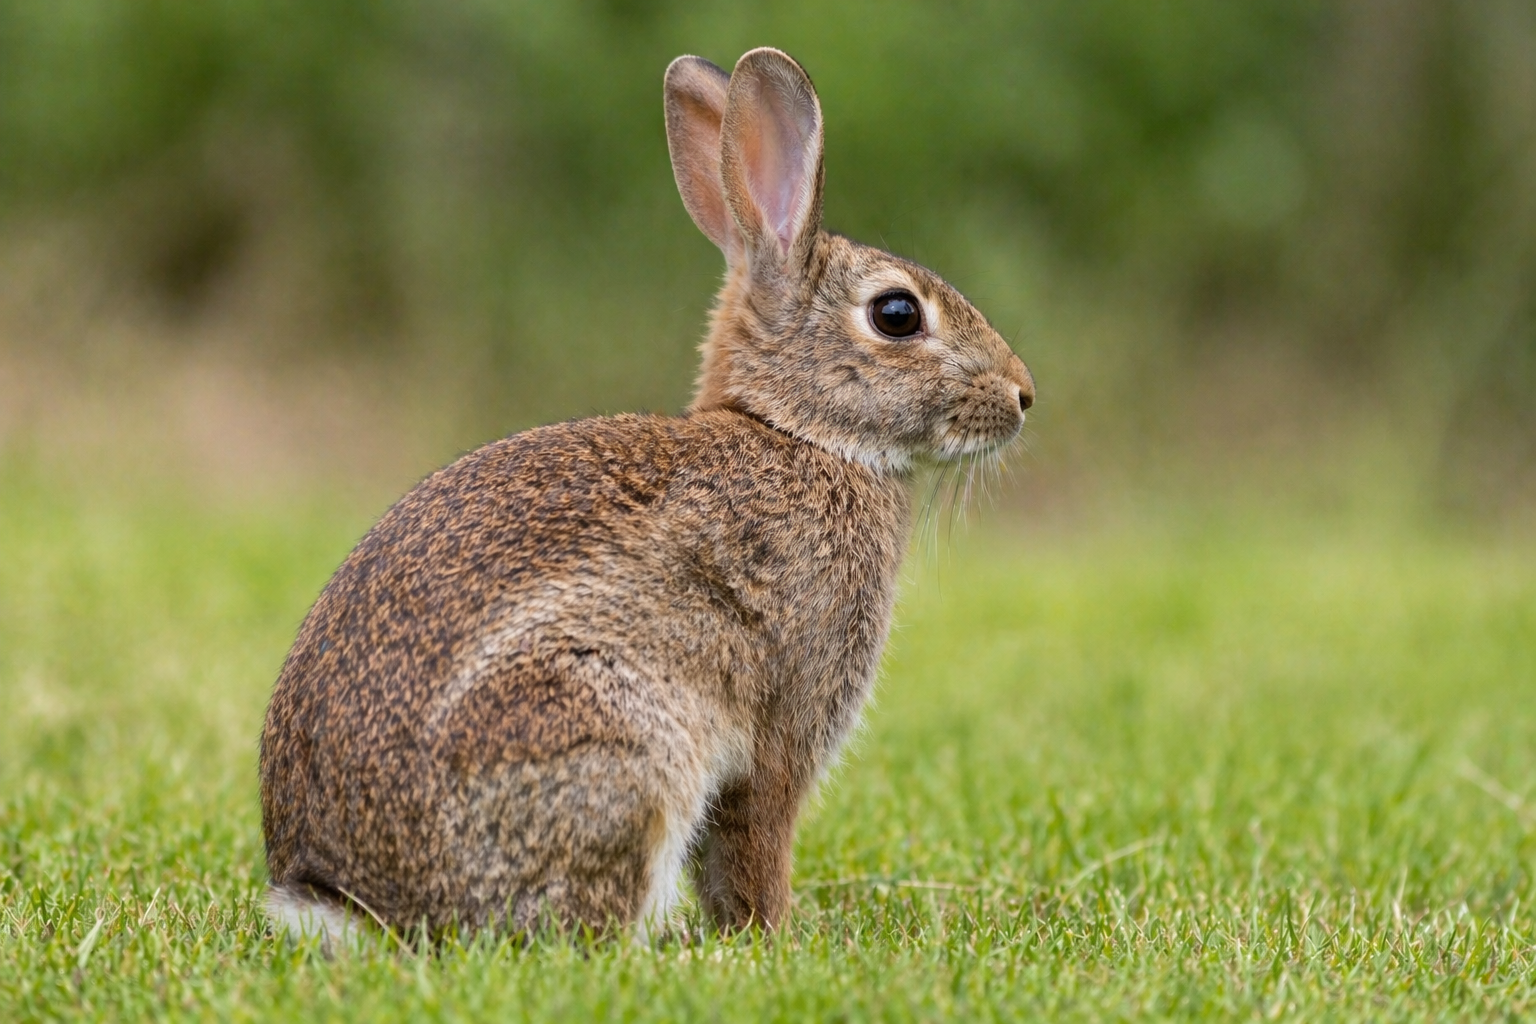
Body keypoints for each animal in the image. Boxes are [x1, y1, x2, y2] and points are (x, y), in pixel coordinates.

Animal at [260, 46, 1034, 947]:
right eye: (898, 314)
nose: (1023, 395)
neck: (799, 432)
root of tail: (343, 900)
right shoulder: (780, 733)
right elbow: (757, 842)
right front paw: (774, 937)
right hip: (618, 739)